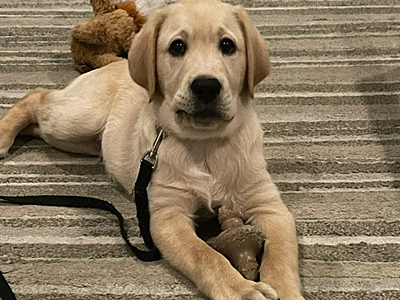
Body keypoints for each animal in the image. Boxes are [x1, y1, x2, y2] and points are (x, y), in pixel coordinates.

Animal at [0, 0, 304, 300]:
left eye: (228, 45)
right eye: (177, 46)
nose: (206, 86)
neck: (204, 144)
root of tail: (116, 63)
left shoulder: (269, 207)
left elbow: (280, 257)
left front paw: (284, 289)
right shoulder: (167, 216)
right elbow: (205, 256)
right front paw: (242, 291)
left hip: (77, 138)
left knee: (38, 116)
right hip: (76, 120)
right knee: (38, 96)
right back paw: (4, 136)